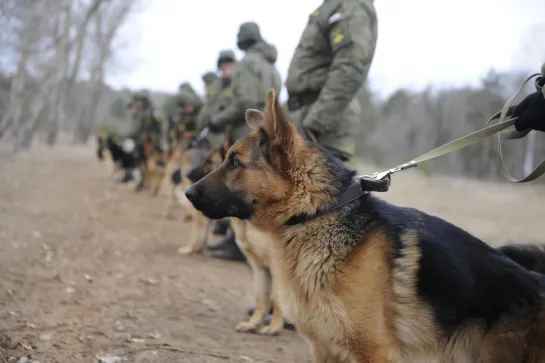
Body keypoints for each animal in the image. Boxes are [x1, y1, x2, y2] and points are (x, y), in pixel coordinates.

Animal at [185, 88, 544, 363]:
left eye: (235, 162)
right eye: (226, 159)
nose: (187, 192)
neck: (317, 213)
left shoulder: (375, 353)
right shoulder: (325, 350)